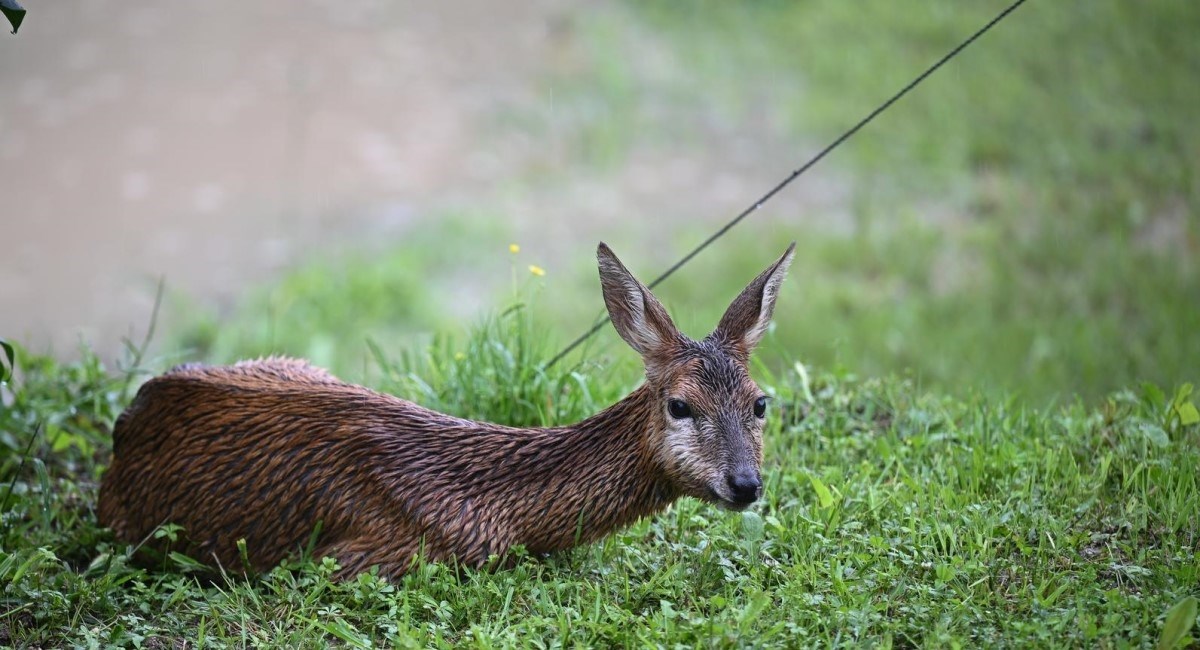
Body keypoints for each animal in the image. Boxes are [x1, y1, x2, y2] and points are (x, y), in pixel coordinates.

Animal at [98, 244, 792, 580]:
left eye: (760, 403)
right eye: (679, 404)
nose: (745, 483)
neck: (496, 507)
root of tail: (131, 415)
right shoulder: (358, 557)